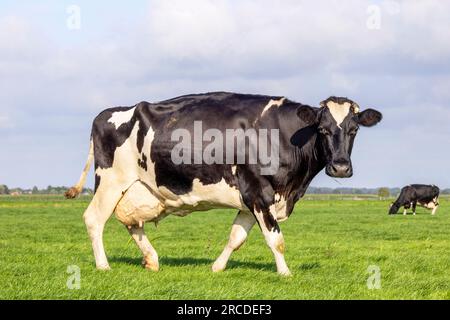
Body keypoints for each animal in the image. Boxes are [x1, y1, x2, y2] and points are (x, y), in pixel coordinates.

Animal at [66, 92, 384, 276]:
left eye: (354, 130)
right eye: (323, 129)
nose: (340, 167)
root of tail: (108, 112)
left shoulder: (249, 200)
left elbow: (236, 237)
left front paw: (217, 267)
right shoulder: (259, 191)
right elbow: (276, 239)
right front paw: (285, 274)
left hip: (139, 189)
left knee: (131, 222)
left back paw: (152, 259)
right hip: (111, 181)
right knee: (94, 219)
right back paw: (103, 265)